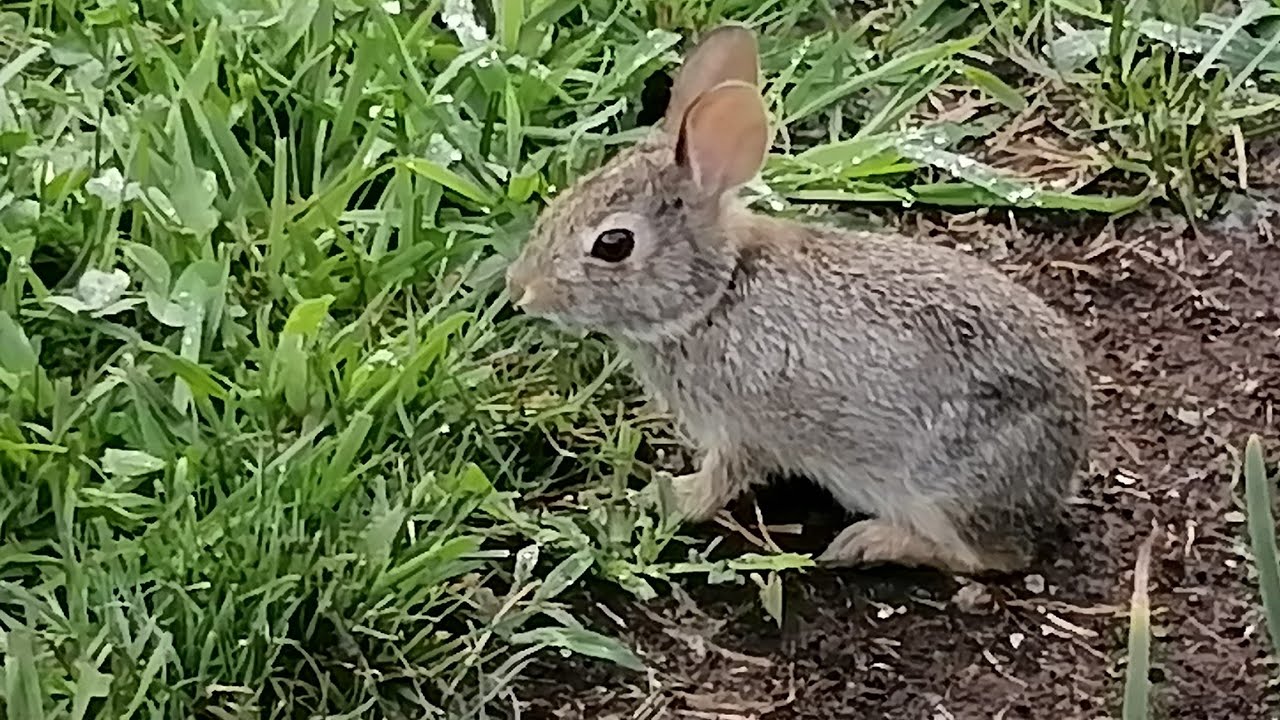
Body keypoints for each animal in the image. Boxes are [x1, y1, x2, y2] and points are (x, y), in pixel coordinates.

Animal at [505, 25, 1090, 574]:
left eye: (613, 244)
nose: (522, 289)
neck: (717, 294)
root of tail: (1064, 456)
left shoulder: (741, 433)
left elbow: (717, 484)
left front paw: (665, 496)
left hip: (942, 484)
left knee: (988, 558)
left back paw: (870, 542)